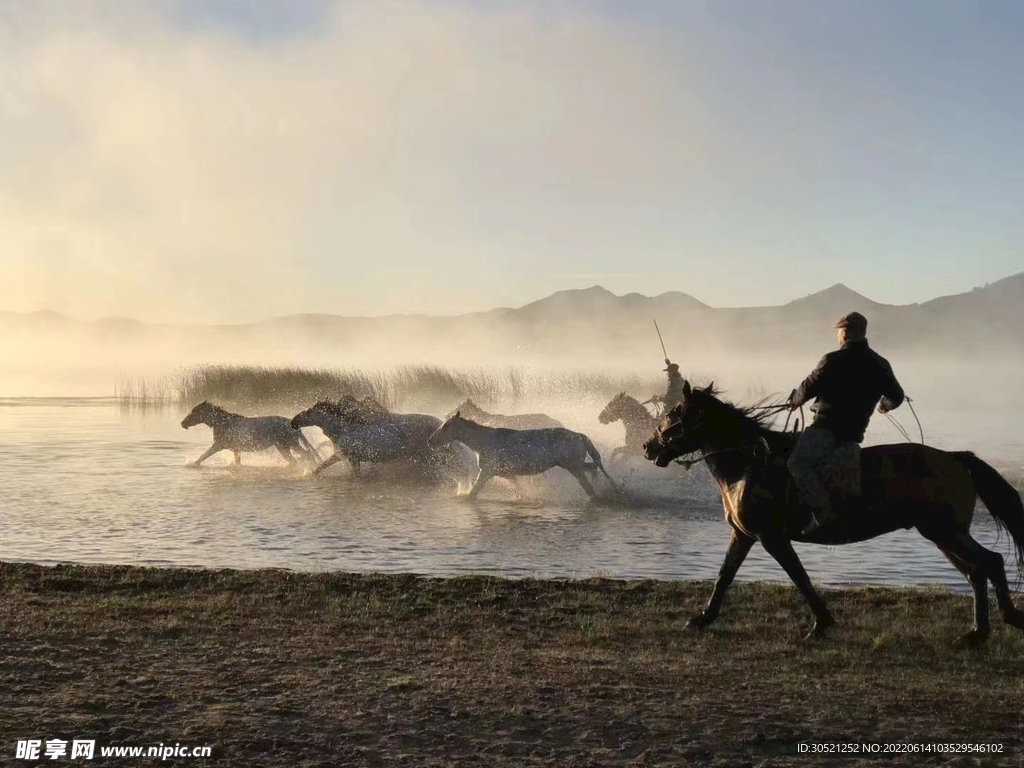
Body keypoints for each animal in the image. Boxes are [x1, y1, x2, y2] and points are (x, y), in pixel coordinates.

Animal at [178, 403, 317, 468]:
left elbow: (203, 456)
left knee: (306, 455)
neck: (223, 423)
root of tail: (293, 425)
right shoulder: (235, 449)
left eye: (194, 412)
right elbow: (238, 462)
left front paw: (192, 464)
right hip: (283, 447)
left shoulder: (218, 445)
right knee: (295, 460)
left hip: (290, 444)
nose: (182, 423)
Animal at [290, 399, 477, 483]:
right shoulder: (350, 458)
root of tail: (439, 424)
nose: (293, 422)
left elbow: (322, 466)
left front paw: (306, 474)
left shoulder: (347, 456)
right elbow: (324, 466)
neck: (345, 429)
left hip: (430, 457)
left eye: (308, 412)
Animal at [425, 411, 614, 501]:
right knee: (593, 468)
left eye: (447, 425)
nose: (430, 441)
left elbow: (472, 494)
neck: (483, 441)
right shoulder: (508, 475)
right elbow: (520, 491)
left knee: (590, 489)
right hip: (573, 466)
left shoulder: (486, 473)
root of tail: (580, 435)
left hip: (574, 468)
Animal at [638, 382, 1024, 647]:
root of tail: (956, 458)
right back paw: (979, 631)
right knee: (977, 570)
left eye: (672, 415)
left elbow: (799, 578)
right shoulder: (744, 535)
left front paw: (821, 623)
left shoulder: (771, 537)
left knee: (989, 563)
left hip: (944, 532)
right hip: (943, 534)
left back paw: (1000, 621)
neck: (748, 465)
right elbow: (724, 576)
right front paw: (703, 618)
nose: (648, 447)